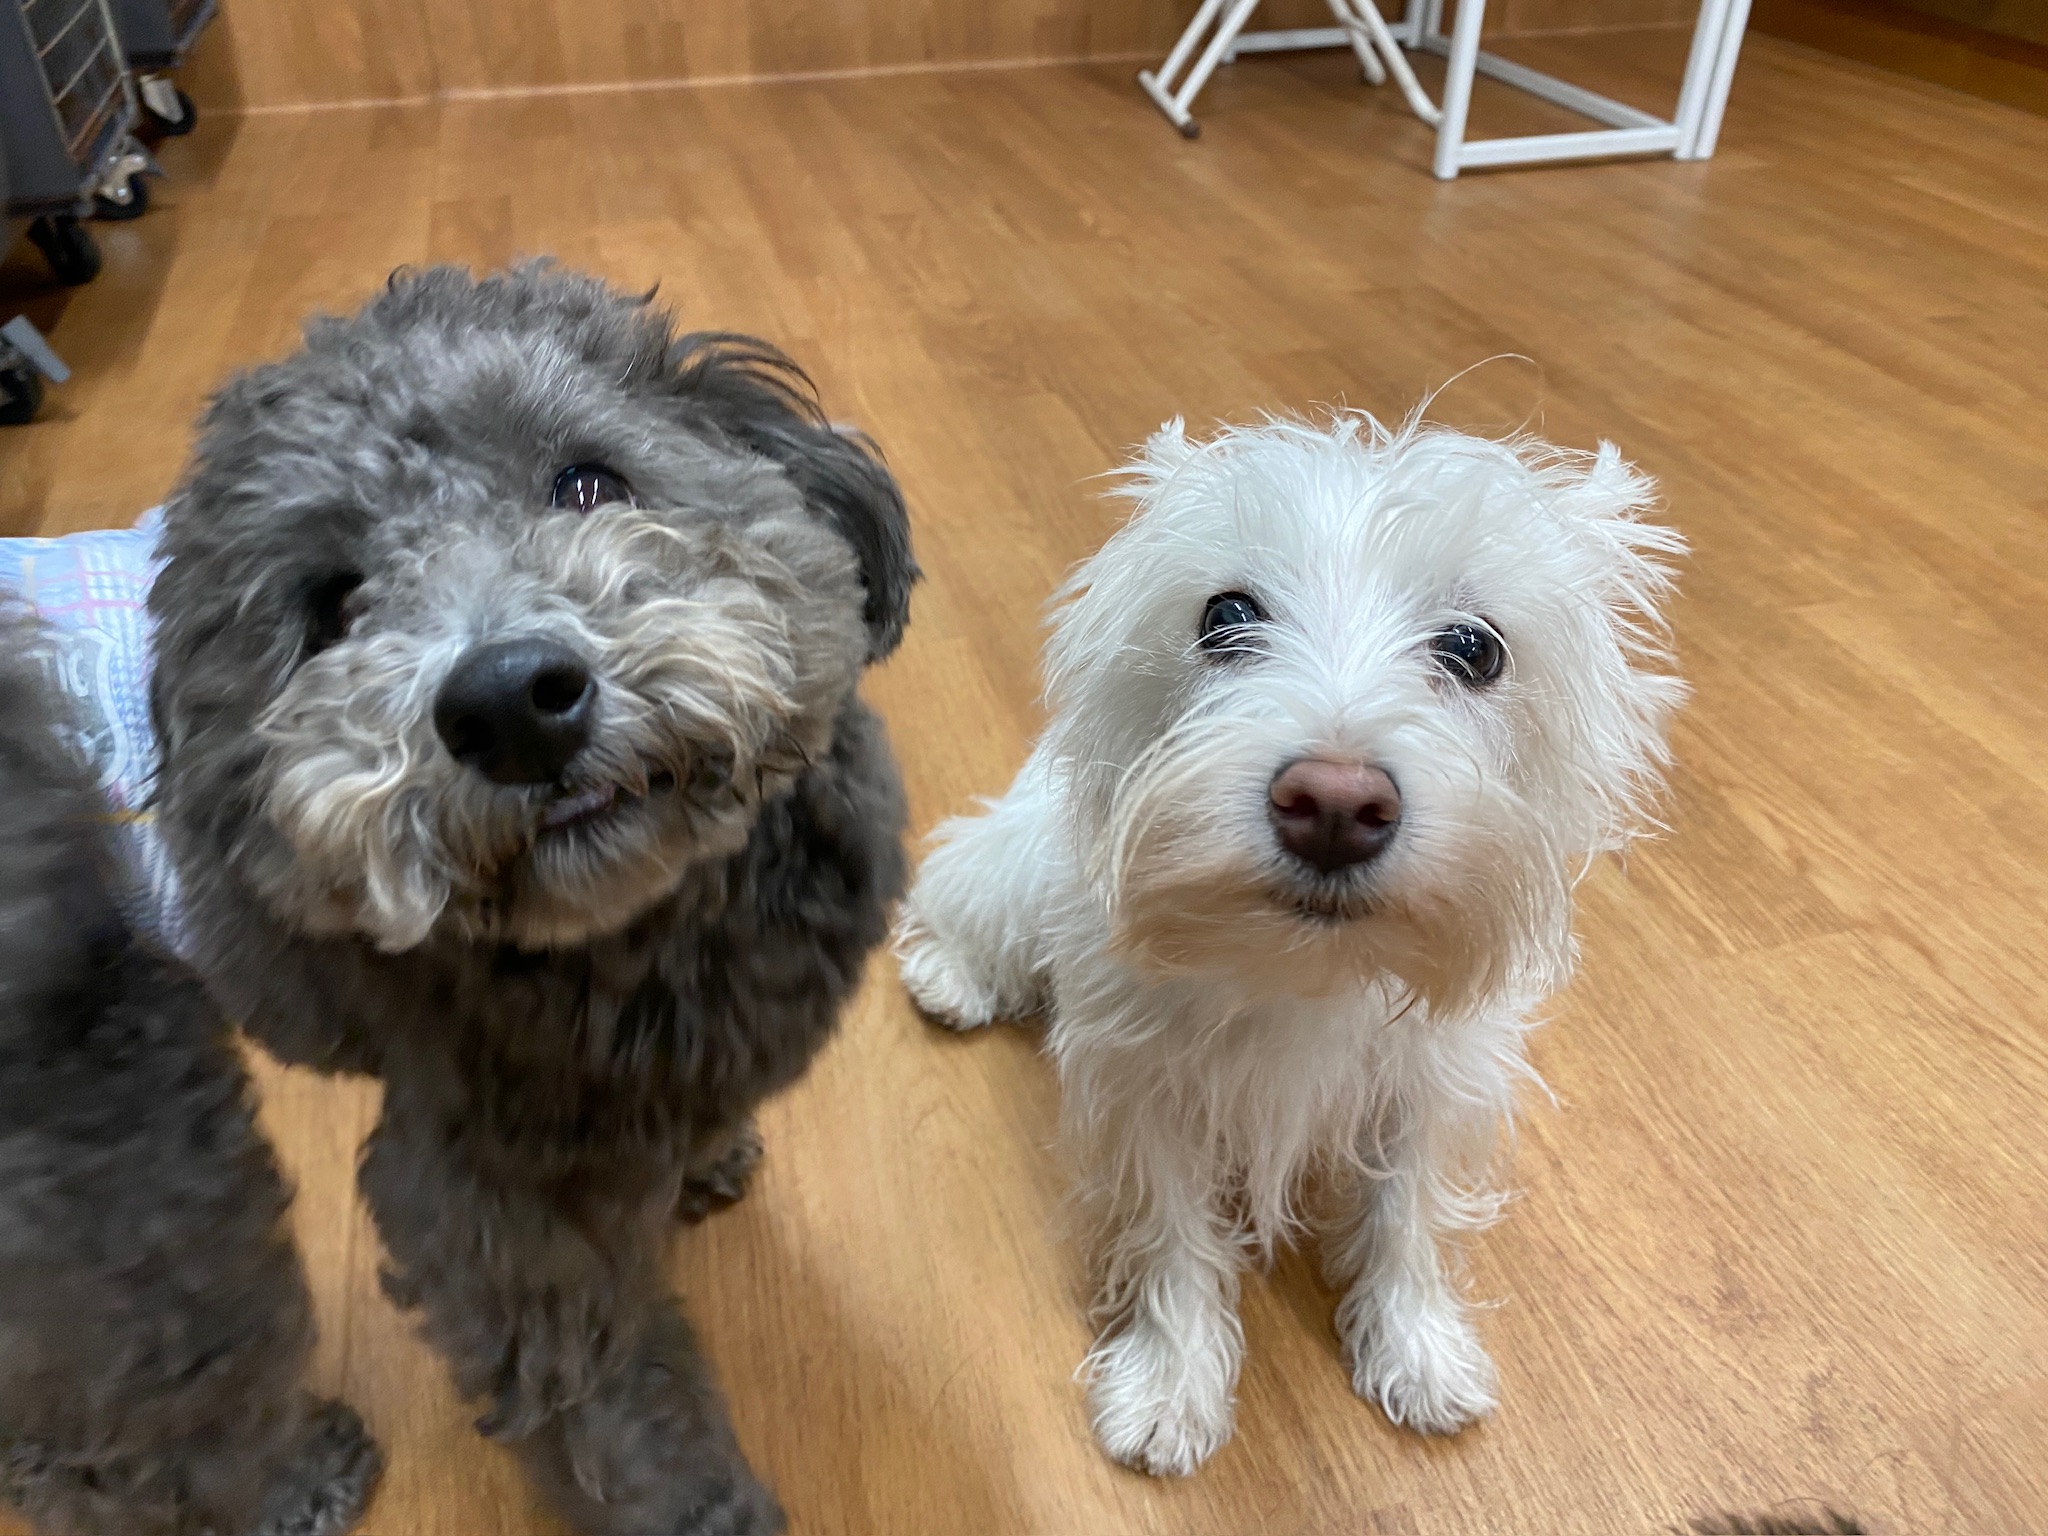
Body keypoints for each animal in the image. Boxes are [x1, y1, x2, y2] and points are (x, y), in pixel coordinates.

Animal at [146, 264, 916, 1534]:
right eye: (334, 606)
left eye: (588, 483)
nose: (509, 701)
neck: (646, 935)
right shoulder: (486, 1216)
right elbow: (611, 1402)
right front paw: (702, 1509)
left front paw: (707, 1159)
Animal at [894, 411, 1684, 1475]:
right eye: (1226, 614)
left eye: (1474, 649)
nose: (1336, 804)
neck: (1304, 968)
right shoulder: (1148, 1085)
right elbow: (1171, 1236)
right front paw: (1167, 1386)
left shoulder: (1429, 1081)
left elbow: (1407, 1219)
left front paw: (1419, 1351)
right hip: (1018, 865)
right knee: (965, 888)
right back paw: (953, 975)